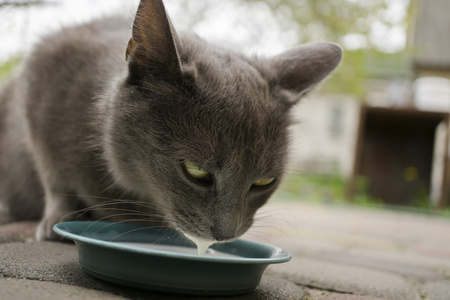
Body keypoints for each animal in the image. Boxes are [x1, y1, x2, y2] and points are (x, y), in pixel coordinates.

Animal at [0, 0, 342, 243]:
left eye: (264, 182)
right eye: (196, 171)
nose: (226, 235)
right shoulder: (42, 72)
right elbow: (54, 176)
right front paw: (58, 218)